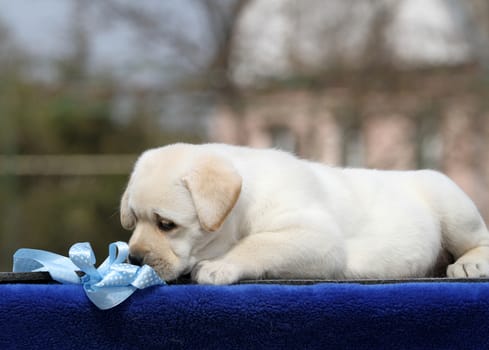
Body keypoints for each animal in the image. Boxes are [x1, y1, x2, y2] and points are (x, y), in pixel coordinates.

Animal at [120, 144, 488, 284]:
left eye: (166, 225)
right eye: (134, 221)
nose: (134, 258)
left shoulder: (317, 238)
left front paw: (219, 265)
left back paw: (469, 263)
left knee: (479, 238)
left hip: (450, 201)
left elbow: (260, 244)